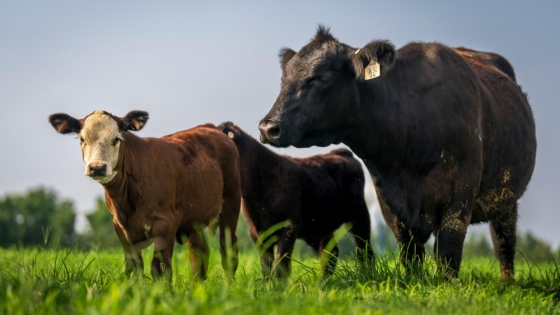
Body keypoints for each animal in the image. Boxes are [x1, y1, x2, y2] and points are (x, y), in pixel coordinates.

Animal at [48, 110, 241, 282]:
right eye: (82, 139)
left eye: (116, 139)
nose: (97, 167)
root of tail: (210, 127)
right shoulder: (121, 227)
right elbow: (135, 266)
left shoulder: (165, 224)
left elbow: (160, 268)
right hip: (192, 219)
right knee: (199, 253)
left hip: (230, 204)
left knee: (228, 251)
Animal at [260, 25, 536, 282]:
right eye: (284, 79)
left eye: (321, 77)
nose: (267, 127)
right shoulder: (388, 197)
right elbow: (409, 252)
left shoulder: (461, 191)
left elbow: (448, 248)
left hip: (507, 197)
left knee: (504, 241)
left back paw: (507, 282)